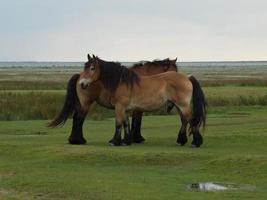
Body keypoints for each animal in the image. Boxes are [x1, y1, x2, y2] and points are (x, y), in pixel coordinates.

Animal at [48, 54, 178, 145]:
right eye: (175, 70)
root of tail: (79, 77)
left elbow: (129, 121)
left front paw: (128, 139)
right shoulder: (137, 108)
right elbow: (137, 121)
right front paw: (136, 138)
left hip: (82, 103)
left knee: (77, 118)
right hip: (86, 103)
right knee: (79, 118)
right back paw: (78, 140)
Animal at [77, 54, 207, 147]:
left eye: (92, 68)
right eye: (85, 67)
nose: (82, 84)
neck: (121, 81)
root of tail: (187, 77)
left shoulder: (120, 107)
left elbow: (118, 123)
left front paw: (115, 141)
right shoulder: (125, 109)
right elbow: (126, 124)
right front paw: (126, 141)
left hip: (183, 105)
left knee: (191, 119)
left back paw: (196, 142)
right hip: (179, 105)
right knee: (185, 120)